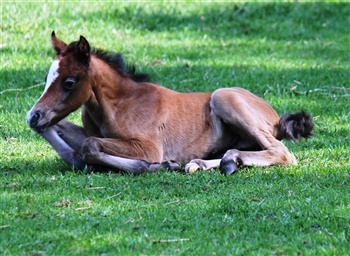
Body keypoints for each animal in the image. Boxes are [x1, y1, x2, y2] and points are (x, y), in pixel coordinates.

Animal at [26, 32, 314, 174]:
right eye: (47, 78)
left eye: (69, 82)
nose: (33, 116)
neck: (120, 104)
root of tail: (275, 117)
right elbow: (66, 132)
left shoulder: (148, 147)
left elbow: (89, 145)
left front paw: (153, 166)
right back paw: (207, 163)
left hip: (224, 97)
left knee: (281, 152)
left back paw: (226, 162)